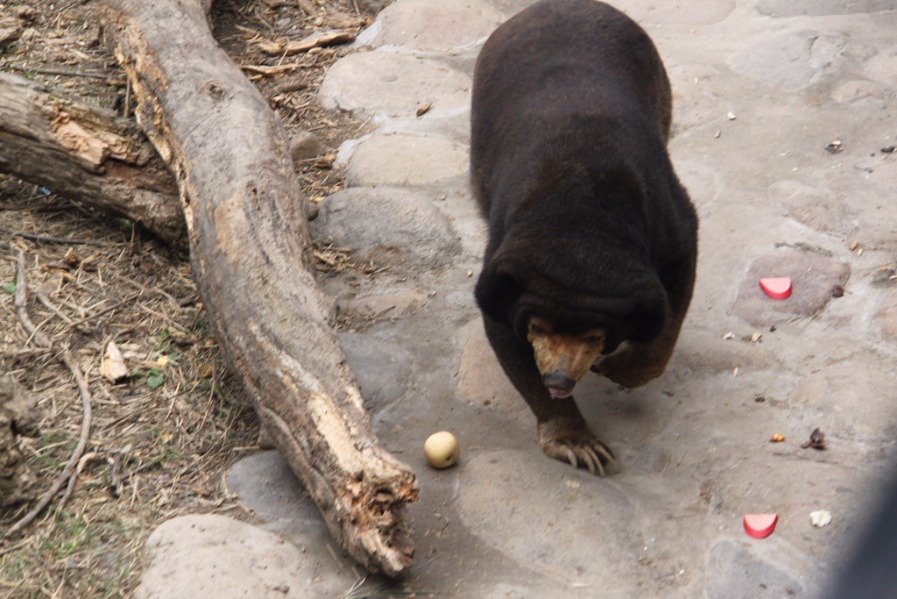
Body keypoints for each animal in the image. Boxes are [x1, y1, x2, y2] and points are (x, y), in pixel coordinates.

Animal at [470, 0, 698, 475]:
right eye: (538, 327)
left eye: (595, 336)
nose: (559, 379)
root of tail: (559, 4)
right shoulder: (506, 262)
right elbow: (503, 332)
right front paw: (579, 445)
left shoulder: (667, 219)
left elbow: (673, 295)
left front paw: (619, 369)